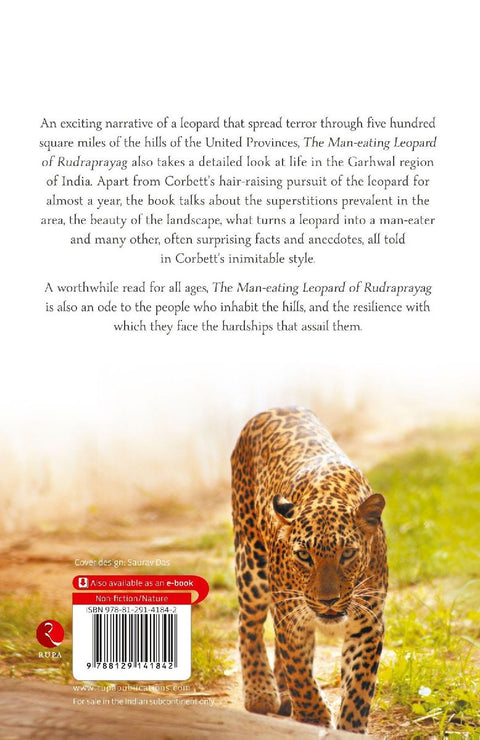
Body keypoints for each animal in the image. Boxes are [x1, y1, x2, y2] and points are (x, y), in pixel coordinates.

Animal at [231, 407, 388, 732]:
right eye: (304, 556)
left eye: (348, 554)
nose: (328, 600)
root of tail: (275, 408)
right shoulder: (290, 615)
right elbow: (299, 671)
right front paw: (313, 716)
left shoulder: (368, 621)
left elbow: (359, 684)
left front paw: (351, 728)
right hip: (251, 562)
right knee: (248, 624)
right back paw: (260, 692)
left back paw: (282, 694)